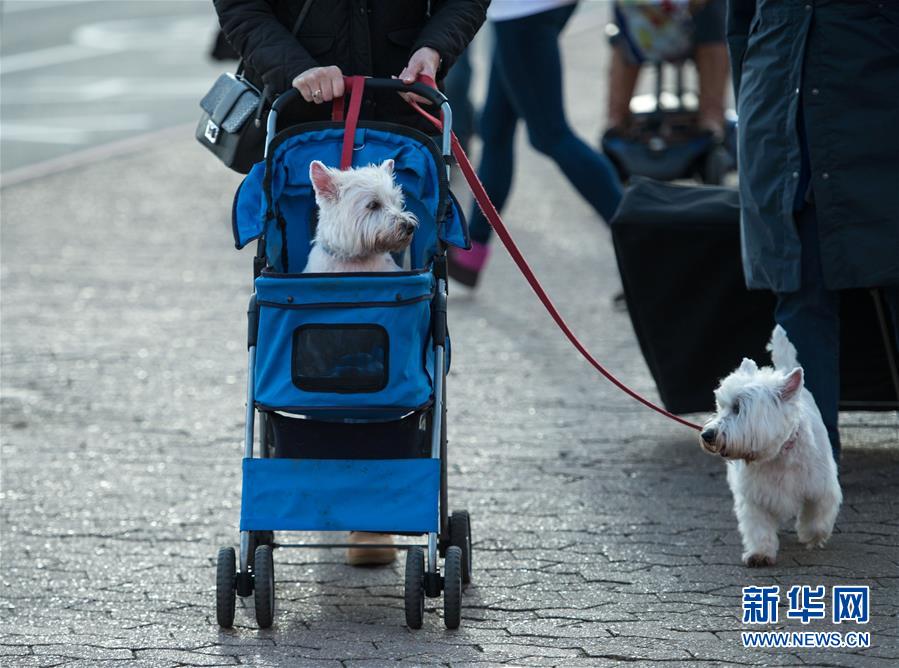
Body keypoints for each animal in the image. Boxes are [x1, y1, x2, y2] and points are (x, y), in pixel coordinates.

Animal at [704, 326, 844, 568]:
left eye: (738, 408)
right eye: (720, 406)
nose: (707, 435)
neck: (777, 455)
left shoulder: (821, 487)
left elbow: (817, 517)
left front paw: (811, 537)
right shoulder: (753, 497)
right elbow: (758, 527)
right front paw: (759, 554)